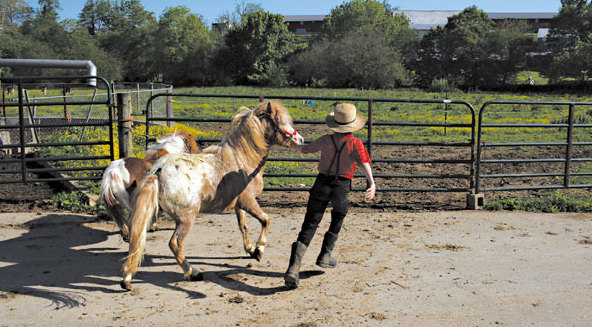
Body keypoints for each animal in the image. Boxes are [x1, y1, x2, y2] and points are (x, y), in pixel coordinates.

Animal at [121, 101, 306, 290]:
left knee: (138, 239)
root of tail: (158, 170)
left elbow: (243, 226)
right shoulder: (249, 201)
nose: (301, 139)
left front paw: (250, 250)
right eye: (281, 121)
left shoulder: (239, 205)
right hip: (186, 219)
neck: (242, 160)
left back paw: (127, 279)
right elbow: (265, 220)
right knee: (175, 244)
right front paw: (259, 250)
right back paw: (193, 272)